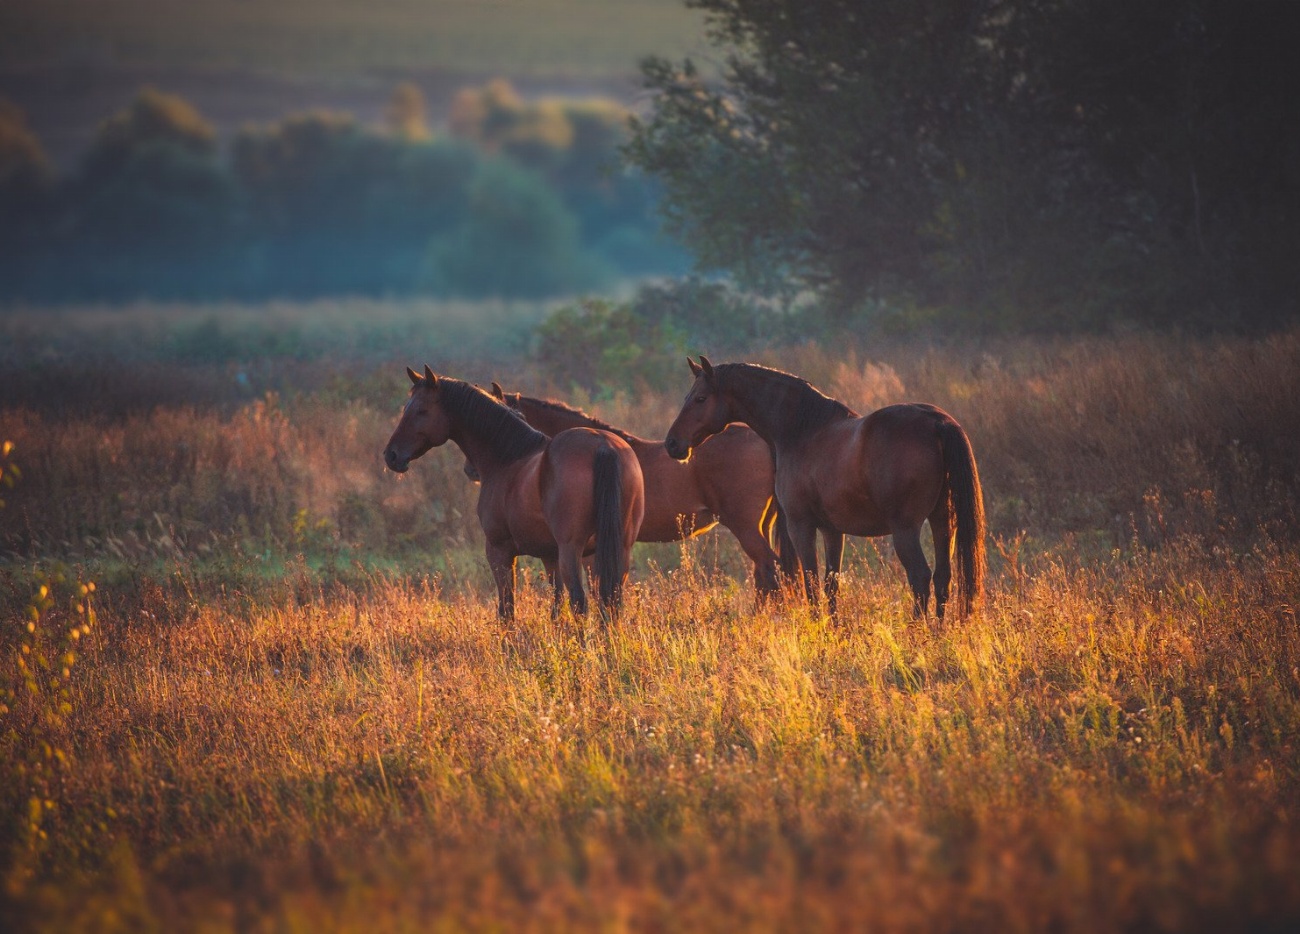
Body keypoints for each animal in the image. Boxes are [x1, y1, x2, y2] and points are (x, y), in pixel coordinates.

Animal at [383, 365, 645, 621]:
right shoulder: (550, 556)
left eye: (421, 411)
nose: (391, 455)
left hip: (573, 550)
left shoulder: (499, 551)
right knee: (610, 602)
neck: (508, 458)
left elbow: (507, 609)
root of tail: (603, 446)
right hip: (617, 549)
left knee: (580, 602)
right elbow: (556, 608)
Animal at [664, 357, 985, 620]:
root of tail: (937, 422)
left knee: (920, 578)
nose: (672, 443)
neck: (802, 430)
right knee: (943, 577)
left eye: (700, 398)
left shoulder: (800, 526)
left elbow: (811, 583)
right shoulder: (833, 530)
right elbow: (831, 585)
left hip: (905, 530)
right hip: (943, 521)